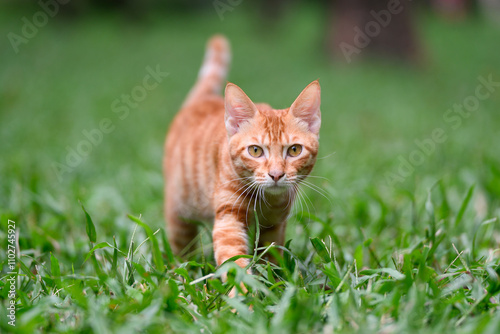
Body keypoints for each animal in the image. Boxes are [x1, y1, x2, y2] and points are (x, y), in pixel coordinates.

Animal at [164, 35, 320, 268]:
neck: (266, 201)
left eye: (294, 150)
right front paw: (242, 279)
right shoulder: (228, 218)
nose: (276, 175)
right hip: (180, 216)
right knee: (182, 249)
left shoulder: (274, 226)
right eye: (255, 151)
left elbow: (271, 258)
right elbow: (233, 261)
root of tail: (202, 99)